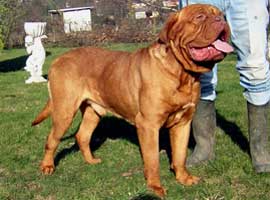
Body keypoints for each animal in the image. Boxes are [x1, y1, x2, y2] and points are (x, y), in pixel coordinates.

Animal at [32, 3, 232, 196]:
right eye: (200, 17)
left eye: (220, 14)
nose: (221, 20)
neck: (182, 73)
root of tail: (58, 59)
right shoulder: (148, 125)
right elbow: (152, 159)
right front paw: (155, 187)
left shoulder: (183, 122)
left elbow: (180, 155)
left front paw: (183, 178)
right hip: (64, 111)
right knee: (52, 139)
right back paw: (47, 166)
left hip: (93, 111)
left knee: (82, 136)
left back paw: (91, 161)